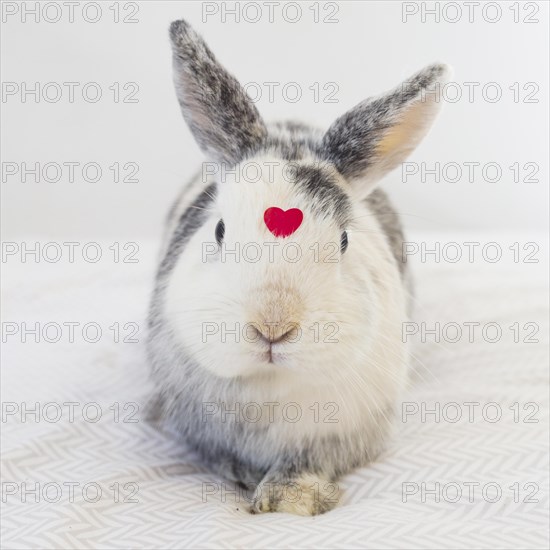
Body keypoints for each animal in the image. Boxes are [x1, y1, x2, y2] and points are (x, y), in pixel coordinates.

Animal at [149, 18, 450, 516]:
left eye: (344, 240)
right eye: (219, 230)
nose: (273, 326)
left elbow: (309, 462)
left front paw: (292, 497)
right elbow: (221, 458)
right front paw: (249, 478)